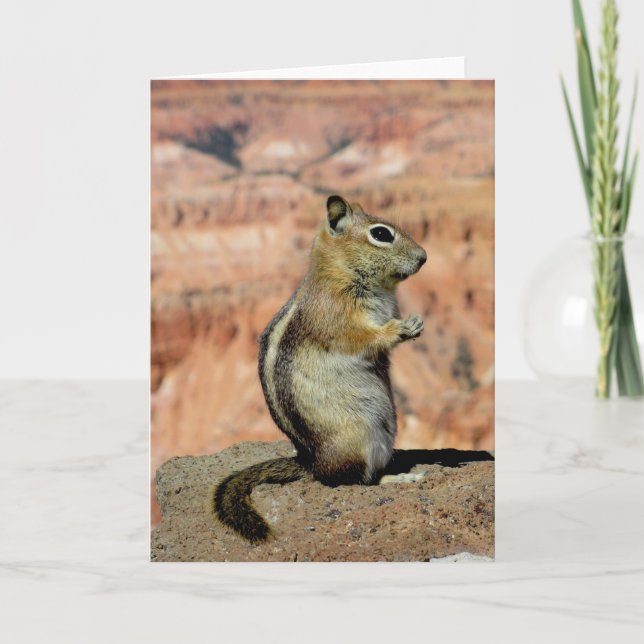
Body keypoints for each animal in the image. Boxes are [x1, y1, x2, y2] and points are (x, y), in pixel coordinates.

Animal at [212, 194, 427, 543]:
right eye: (381, 234)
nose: (424, 257)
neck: (341, 271)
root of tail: (311, 462)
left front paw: (416, 323)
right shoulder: (337, 317)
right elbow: (363, 338)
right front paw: (399, 329)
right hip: (359, 439)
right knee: (349, 481)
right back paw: (398, 479)